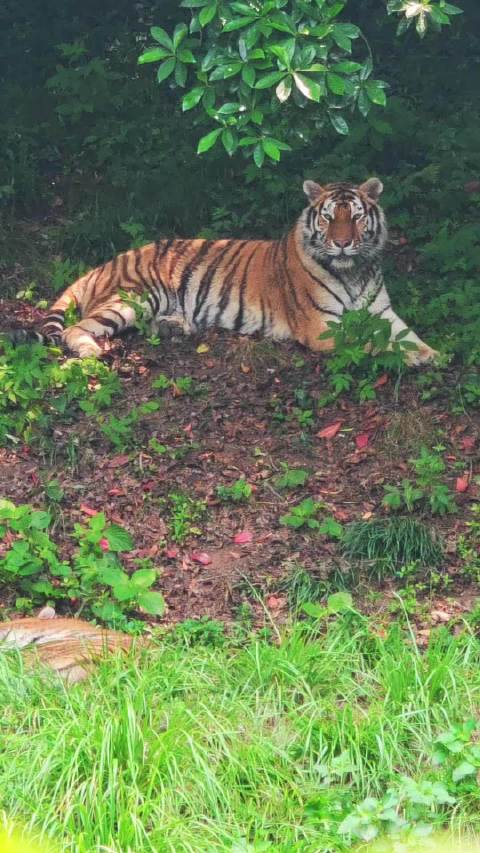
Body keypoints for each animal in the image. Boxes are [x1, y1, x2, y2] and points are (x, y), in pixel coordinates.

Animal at [8, 177, 438, 365]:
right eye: (330, 217)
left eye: (357, 217)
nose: (344, 243)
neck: (353, 271)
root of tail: (107, 262)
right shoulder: (322, 327)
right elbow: (371, 344)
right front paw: (409, 357)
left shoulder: (383, 312)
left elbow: (409, 335)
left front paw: (434, 354)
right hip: (134, 296)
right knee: (77, 330)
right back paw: (91, 350)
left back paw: (174, 328)